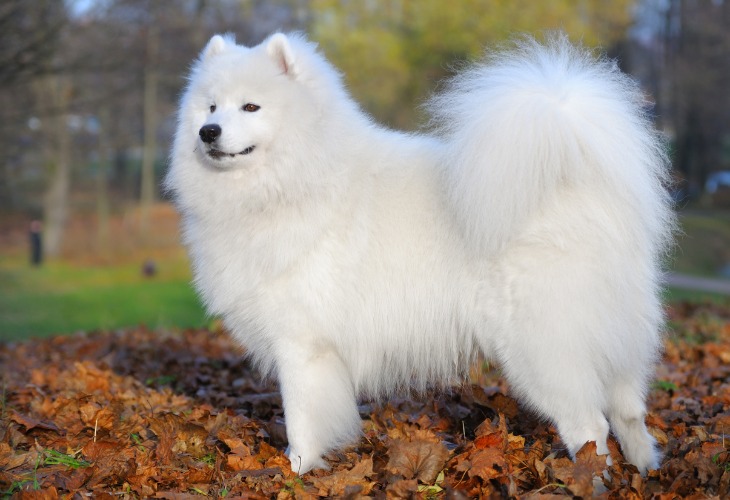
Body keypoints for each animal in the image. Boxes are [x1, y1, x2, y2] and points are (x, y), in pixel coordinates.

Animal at [165, 29, 672, 474]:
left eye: (251, 106)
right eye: (211, 105)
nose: (209, 131)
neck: (301, 178)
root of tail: (580, 188)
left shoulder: (302, 344)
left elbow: (301, 419)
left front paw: (299, 469)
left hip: (543, 349)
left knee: (590, 425)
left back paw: (592, 478)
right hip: (613, 339)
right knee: (629, 414)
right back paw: (645, 470)